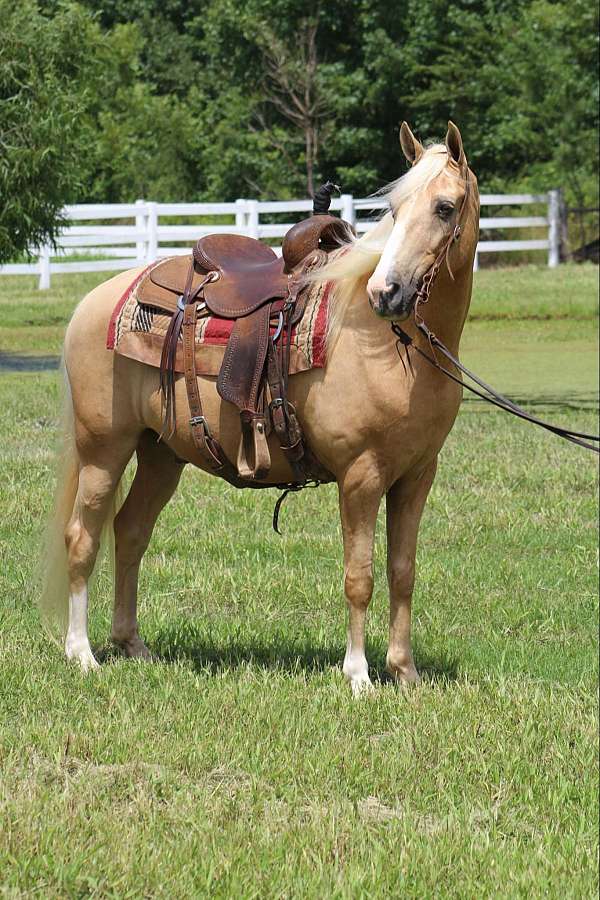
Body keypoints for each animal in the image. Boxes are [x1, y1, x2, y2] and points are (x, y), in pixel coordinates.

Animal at [41, 121, 478, 696]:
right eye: (395, 209)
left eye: (445, 208)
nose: (387, 292)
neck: (380, 342)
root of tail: (96, 299)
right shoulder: (361, 477)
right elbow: (359, 577)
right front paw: (359, 676)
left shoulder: (416, 476)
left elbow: (402, 571)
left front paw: (404, 673)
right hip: (103, 451)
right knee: (82, 537)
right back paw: (81, 653)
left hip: (160, 455)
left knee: (130, 531)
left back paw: (132, 645)